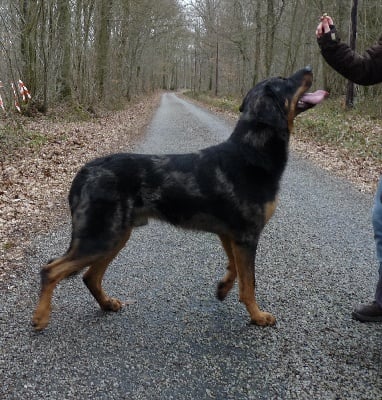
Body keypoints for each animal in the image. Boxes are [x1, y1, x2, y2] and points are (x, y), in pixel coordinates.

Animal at [31, 66, 326, 332]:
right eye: (284, 80)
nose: (310, 67)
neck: (252, 152)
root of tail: (84, 171)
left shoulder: (229, 234)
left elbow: (234, 269)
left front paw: (222, 288)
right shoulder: (246, 236)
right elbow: (249, 283)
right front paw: (257, 316)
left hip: (116, 236)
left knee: (90, 276)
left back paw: (107, 304)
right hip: (101, 236)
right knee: (50, 270)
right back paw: (41, 318)